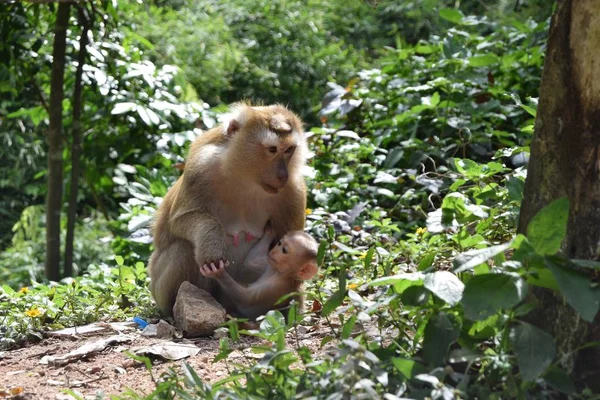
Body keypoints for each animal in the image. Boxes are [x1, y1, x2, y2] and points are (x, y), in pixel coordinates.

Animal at [148, 104, 308, 316]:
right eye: (272, 149)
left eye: (289, 149)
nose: (283, 175)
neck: (245, 176)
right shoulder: (200, 169)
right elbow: (180, 220)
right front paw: (211, 246)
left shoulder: (293, 189)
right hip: (158, 288)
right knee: (184, 249)